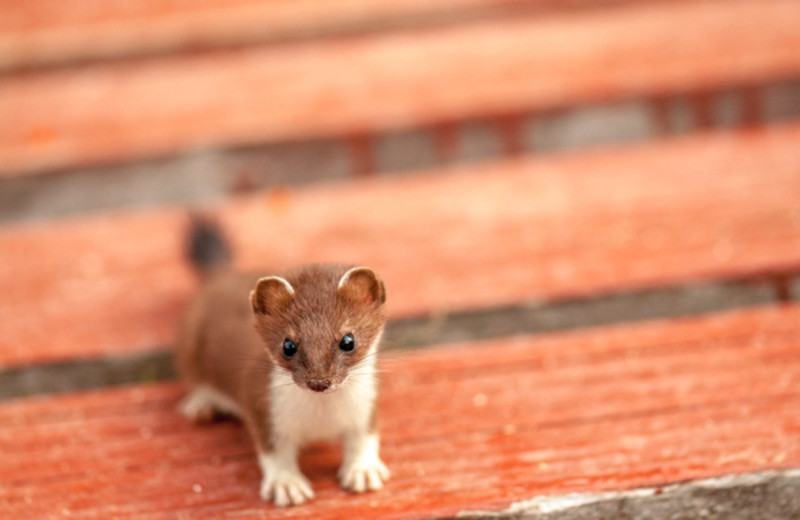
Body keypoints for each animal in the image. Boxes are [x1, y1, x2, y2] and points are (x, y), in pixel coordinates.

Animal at [175, 217, 390, 506]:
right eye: (288, 345)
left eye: (348, 340)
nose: (319, 381)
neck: (322, 418)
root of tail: (223, 275)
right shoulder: (261, 404)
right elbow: (274, 453)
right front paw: (286, 485)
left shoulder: (367, 403)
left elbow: (364, 437)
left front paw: (363, 471)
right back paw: (201, 405)